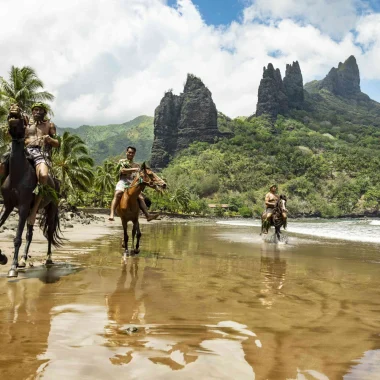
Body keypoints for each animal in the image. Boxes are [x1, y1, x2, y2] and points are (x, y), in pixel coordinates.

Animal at [0, 105, 62, 278]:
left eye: (23, 118)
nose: (14, 109)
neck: (19, 173)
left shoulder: (22, 206)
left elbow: (17, 238)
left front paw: (12, 267)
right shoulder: (8, 205)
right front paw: (3, 258)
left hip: (51, 208)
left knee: (49, 233)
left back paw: (48, 259)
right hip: (32, 209)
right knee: (30, 232)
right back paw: (22, 260)